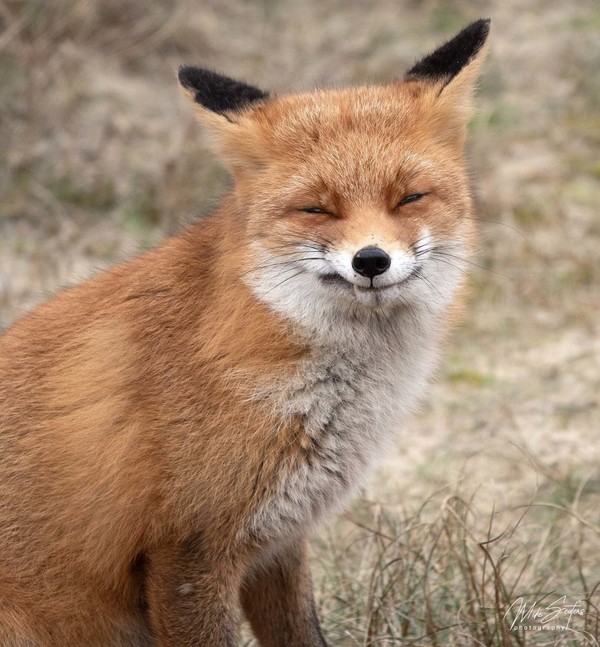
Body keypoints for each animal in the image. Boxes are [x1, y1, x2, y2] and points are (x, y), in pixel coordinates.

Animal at [0, 19, 490, 647]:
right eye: (315, 209)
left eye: (409, 197)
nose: (371, 260)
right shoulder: (189, 552)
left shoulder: (278, 540)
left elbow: (304, 634)